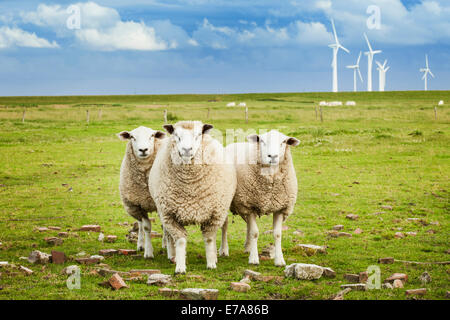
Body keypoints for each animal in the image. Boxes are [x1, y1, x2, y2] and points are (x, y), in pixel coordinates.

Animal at [118, 126, 166, 258]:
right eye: (132, 137)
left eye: (152, 135)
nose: (143, 150)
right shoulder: (138, 205)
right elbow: (146, 227)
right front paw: (148, 252)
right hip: (134, 207)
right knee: (139, 224)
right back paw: (140, 244)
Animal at [149, 121, 237, 274]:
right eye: (176, 136)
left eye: (197, 135)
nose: (186, 149)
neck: (190, 188)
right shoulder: (169, 215)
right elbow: (180, 241)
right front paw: (180, 267)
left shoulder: (215, 214)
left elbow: (209, 239)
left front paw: (211, 263)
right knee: (169, 236)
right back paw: (172, 256)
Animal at [227, 129, 300, 266]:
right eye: (262, 141)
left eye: (284, 142)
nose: (273, 156)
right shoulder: (249, 206)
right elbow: (255, 233)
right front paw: (254, 259)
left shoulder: (280, 208)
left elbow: (277, 234)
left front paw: (279, 260)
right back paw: (223, 250)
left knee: (248, 226)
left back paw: (248, 247)